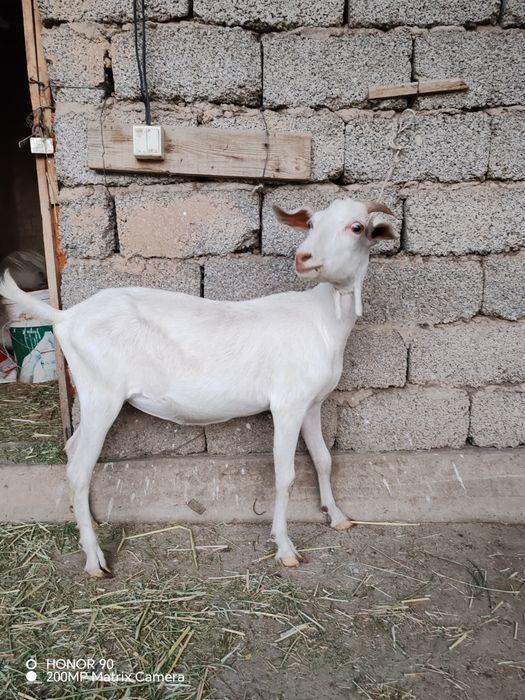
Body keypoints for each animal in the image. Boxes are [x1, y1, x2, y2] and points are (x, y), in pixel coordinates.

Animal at [0, 198, 395, 577]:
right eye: (311, 223)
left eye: (356, 227)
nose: (304, 257)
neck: (324, 320)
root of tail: (66, 316)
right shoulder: (287, 404)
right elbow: (285, 475)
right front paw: (285, 549)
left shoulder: (312, 403)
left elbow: (324, 460)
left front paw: (338, 517)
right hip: (101, 396)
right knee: (80, 469)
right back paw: (95, 560)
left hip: (94, 396)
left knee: (71, 450)